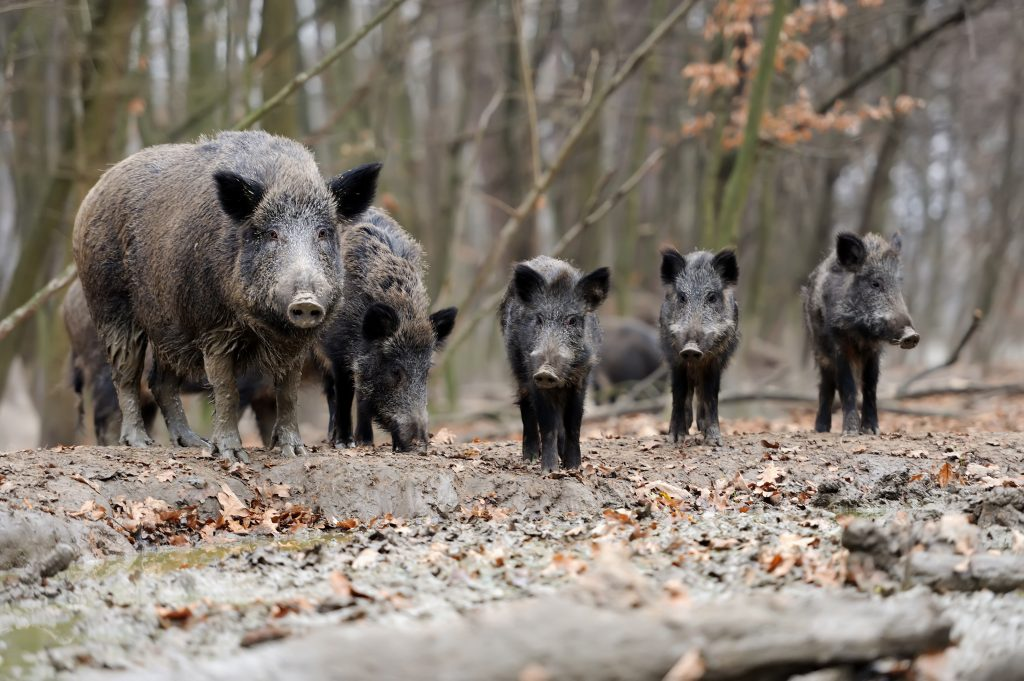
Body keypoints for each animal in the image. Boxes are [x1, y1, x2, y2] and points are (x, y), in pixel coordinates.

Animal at [72, 130, 380, 461]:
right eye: (271, 234)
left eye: (323, 233)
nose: (306, 301)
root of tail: (94, 191)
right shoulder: (213, 329)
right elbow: (225, 388)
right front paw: (232, 455)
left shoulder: (296, 343)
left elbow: (288, 391)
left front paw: (295, 452)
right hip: (110, 304)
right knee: (126, 373)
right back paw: (140, 442)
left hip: (169, 325)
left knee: (161, 381)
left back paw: (193, 443)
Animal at [321, 209, 457, 452]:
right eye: (395, 371)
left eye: (426, 372)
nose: (420, 443)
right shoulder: (337, 351)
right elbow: (345, 394)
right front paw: (346, 443)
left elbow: (362, 396)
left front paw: (374, 443)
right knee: (331, 391)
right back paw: (334, 438)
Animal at [500, 256, 610, 472]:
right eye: (539, 319)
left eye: (572, 320)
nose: (546, 371)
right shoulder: (533, 376)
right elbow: (547, 424)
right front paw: (550, 470)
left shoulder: (582, 378)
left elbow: (574, 423)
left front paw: (573, 467)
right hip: (517, 366)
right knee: (525, 406)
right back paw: (530, 458)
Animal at [659, 247, 740, 446]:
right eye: (682, 297)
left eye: (711, 297)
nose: (691, 348)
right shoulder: (675, 357)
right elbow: (679, 392)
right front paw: (675, 438)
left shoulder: (716, 359)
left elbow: (711, 394)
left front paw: (714, 440)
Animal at [803, 232, 920, 435]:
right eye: (875, 283)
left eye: (899, 285)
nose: (911, 335)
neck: (861, 333)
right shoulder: (839, 344)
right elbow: (847, 385)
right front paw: (850, 432)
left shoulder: (874, 350)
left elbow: (870, 385)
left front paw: (872, 431)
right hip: (819, 350)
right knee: (826, 384)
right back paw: (821, 429)